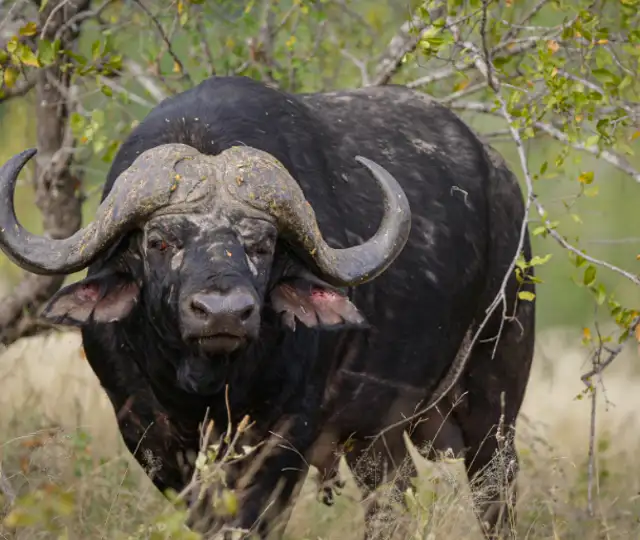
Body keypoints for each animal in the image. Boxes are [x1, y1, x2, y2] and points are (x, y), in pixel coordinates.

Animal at [0, 75, 535, 539]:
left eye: (261, 245)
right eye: (159, 241)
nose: (223, 312)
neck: (204, 389)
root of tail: (505, 186)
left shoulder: (283, 437)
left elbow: (252, 517)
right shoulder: (146, 432)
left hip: (494, 396)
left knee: (495, 492)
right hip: (374, 435)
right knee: (391, 501)